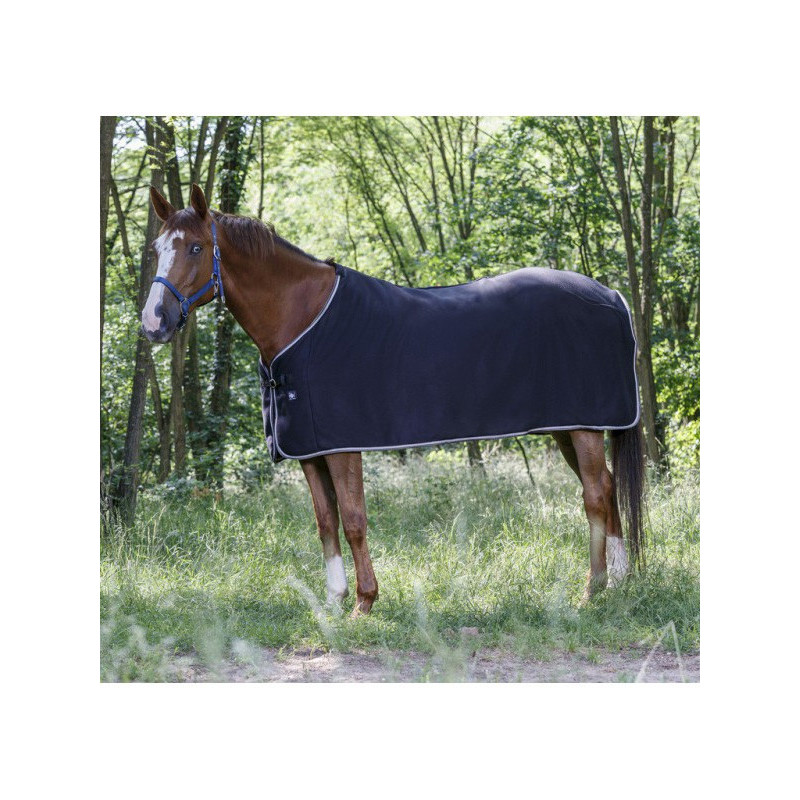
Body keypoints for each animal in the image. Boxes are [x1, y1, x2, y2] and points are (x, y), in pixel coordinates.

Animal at [142, 183, 645, 615]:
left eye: (195, 247)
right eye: (157, 249)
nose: (153, 321)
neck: (302, 318)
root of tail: (612, 296)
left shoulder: (342, 448)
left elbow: (353, 519)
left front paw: (365, 602)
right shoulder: (309, 448)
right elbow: (325, 522)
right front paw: (334, 600)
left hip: (583, 425)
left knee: (595, 494)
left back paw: (592, 588)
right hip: (566, 425)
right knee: (606, 486)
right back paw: (621, 581)